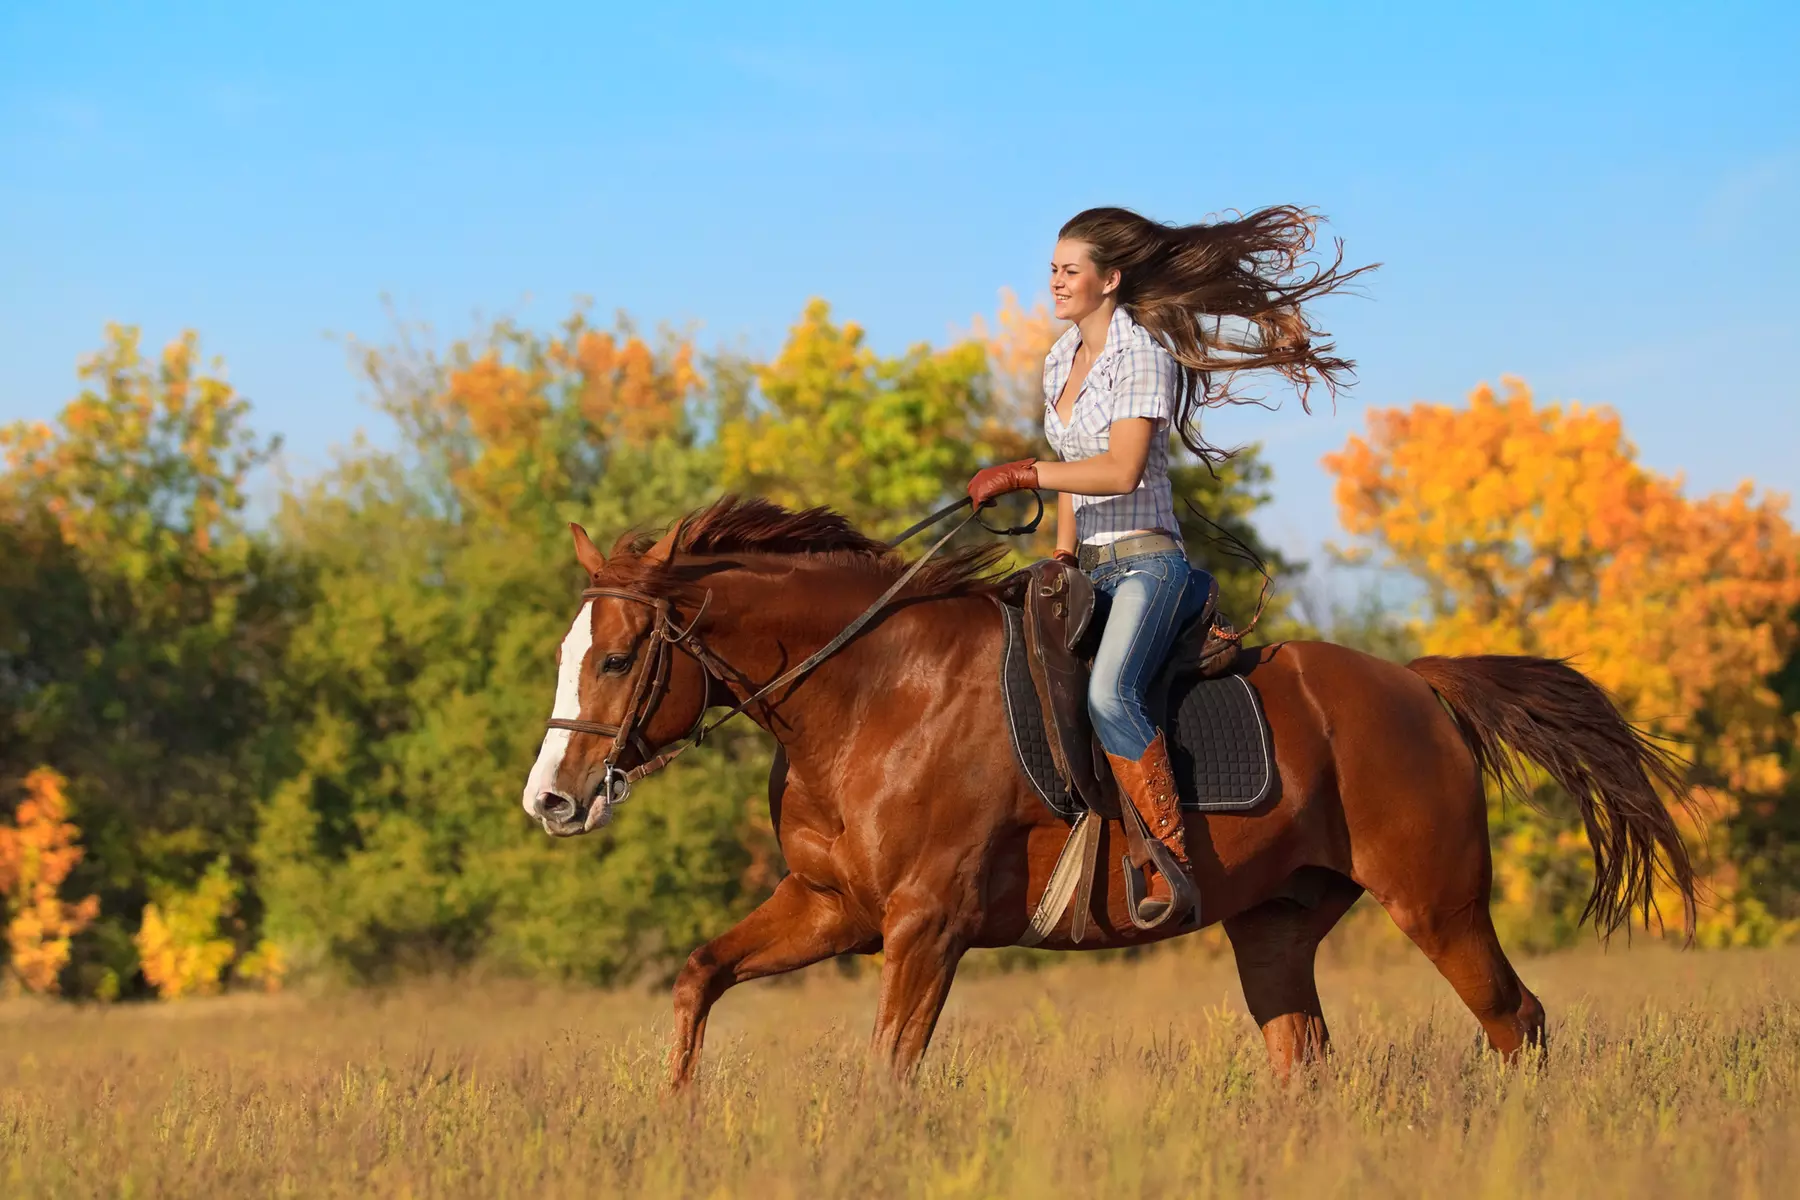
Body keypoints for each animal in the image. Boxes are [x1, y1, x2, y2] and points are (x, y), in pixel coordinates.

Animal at [518, 496, 1698, 1086]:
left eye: (616, 659)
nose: (552, 803)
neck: (870, 696)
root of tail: (1419, 683)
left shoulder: (925, 925)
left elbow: (888, 1071)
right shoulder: (831, 908)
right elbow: (698, 979)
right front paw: (677, 1123)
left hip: (1439, 905)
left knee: (1517, 1024)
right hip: (1276, 927)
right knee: (1304, 1059)